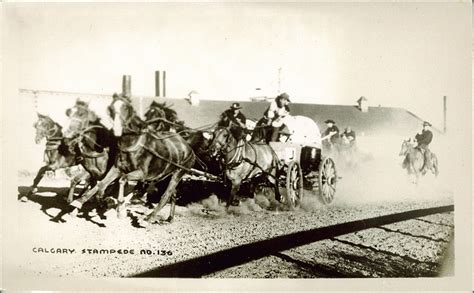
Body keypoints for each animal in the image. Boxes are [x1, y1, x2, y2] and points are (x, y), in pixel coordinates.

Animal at [69, 94, 194, 222]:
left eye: (126, 108)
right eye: (111, 108)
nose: (117, 129)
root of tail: (187, 146)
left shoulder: (142, 174)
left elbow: (122, 180)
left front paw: (118, 207)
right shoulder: (115, 169)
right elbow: (100, 185)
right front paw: (79, 201)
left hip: (178, 172)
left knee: (166, 194)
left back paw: (148, 218)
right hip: (165, 175)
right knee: (172, 194)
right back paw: (169, 217)